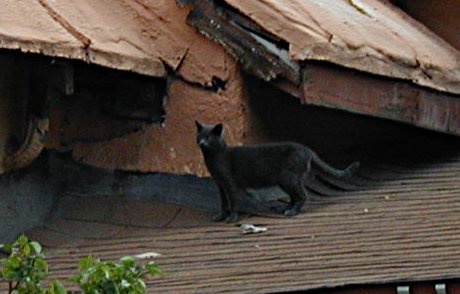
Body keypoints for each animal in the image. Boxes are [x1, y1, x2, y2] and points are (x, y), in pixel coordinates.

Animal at [195, 122, 360, 223]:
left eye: (209, 137)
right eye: (200, 136)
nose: (202, 143)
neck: (213, 157)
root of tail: (307, 150)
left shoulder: (229, 183)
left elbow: (233, 201)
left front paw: (232, 218)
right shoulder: (220, 185)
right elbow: (223, 203)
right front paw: (220, 217)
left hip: (288, 177)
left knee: (302, 195)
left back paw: (292, 212)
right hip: (286, 180)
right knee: (295, 195)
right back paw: (285, 208)